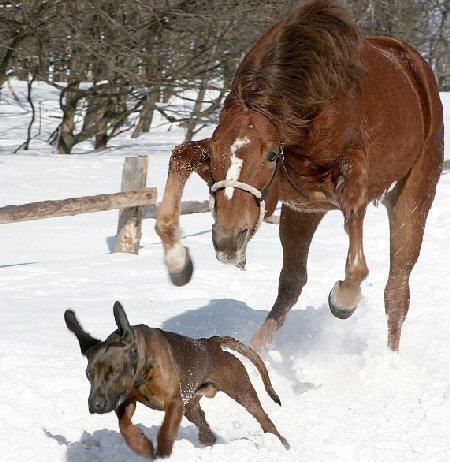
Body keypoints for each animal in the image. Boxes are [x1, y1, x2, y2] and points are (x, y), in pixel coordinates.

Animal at [64, 304, 288, 458]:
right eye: (88, 375)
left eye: (114, 371)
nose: (94, 405)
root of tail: (210, 343)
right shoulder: (125, 401)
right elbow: (125, 425)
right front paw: (141, 446)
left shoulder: (174, 402)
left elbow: (166, 431)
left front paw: (163, 453)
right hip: (191, 406)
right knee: (206, 430)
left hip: (242, 390)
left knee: (266, 421)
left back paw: (282, 445)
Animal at [157, 0, 442, 352]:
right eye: (215, 154)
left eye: (270, 154)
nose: (228, 239)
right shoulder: (283, 190)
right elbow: (180, 156)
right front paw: (177, 263)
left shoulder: (351, 173)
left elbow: (356, 251)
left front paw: (343, 299)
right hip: (302, 213)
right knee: (292, 282)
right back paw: (256, 351)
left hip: (413, 196)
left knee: (397, 288)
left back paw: (389, 358)